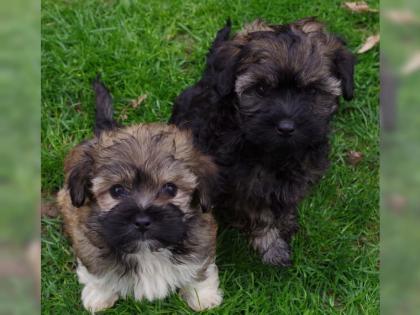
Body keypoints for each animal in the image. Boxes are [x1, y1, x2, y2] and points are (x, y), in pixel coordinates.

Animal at [59, 79, 225, 314]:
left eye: (170, 189)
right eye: (117, 190)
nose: (142, 220)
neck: (146, 251)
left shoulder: (202, 237)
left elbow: (199, 268)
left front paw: (202, 296)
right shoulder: (87, 242)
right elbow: (96, 271)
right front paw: (99, 295)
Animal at [170, 18, 354, 266]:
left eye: (312, 91)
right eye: (261, 89)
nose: (286, 127)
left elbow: (284, 202)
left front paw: (286, 222)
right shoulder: (246, 189)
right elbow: (261, 217)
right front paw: (272, 247)